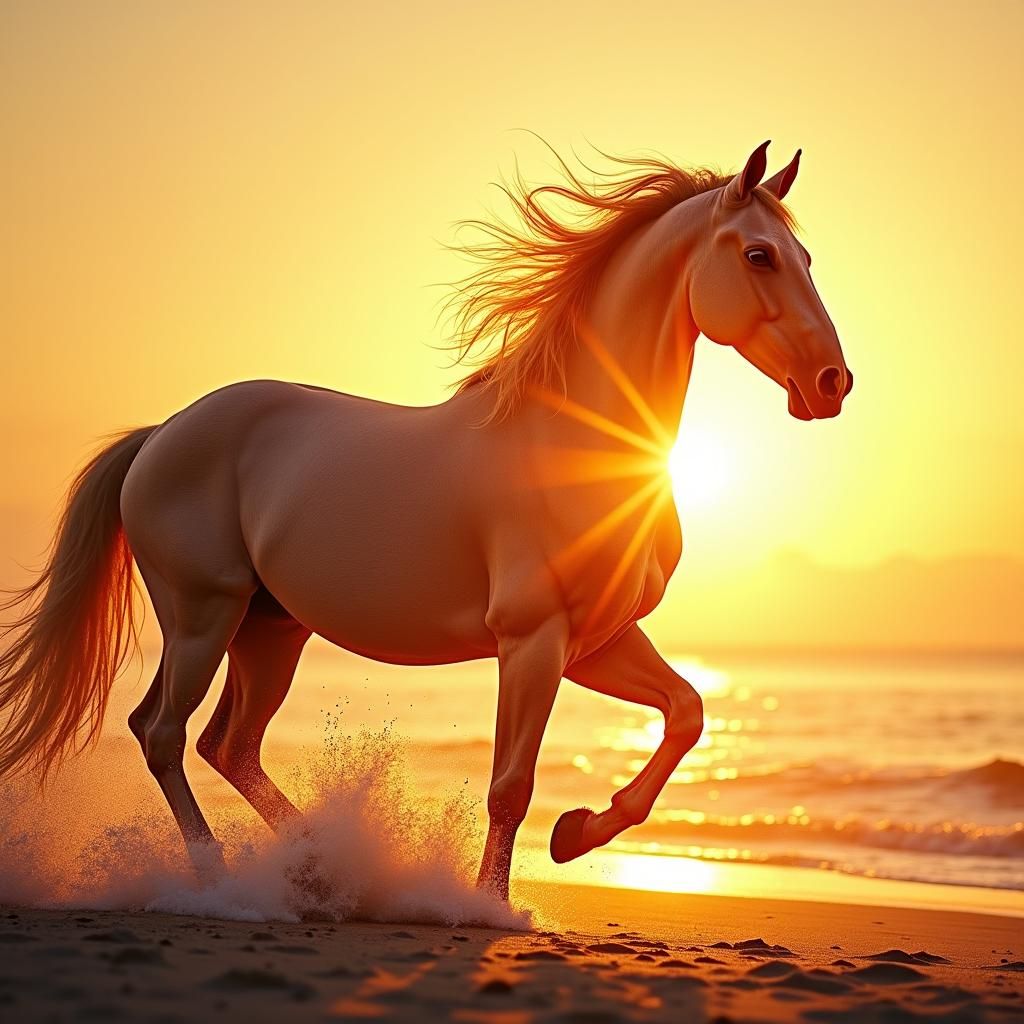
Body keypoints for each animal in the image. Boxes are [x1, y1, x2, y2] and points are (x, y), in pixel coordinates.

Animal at [0, 141, 851, 901]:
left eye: (807, 258)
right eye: (759, 256)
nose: (832, 383)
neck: (571, 442)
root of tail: (160, 435)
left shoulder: (597, 641)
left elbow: (686, 712)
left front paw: (578, 832)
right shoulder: (532, 639)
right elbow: (511, 784)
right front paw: (494, 906)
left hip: (270, 629)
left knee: (226, 745)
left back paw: (319, 868)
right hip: (202, 615)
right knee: (163, 734)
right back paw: (220, 880)